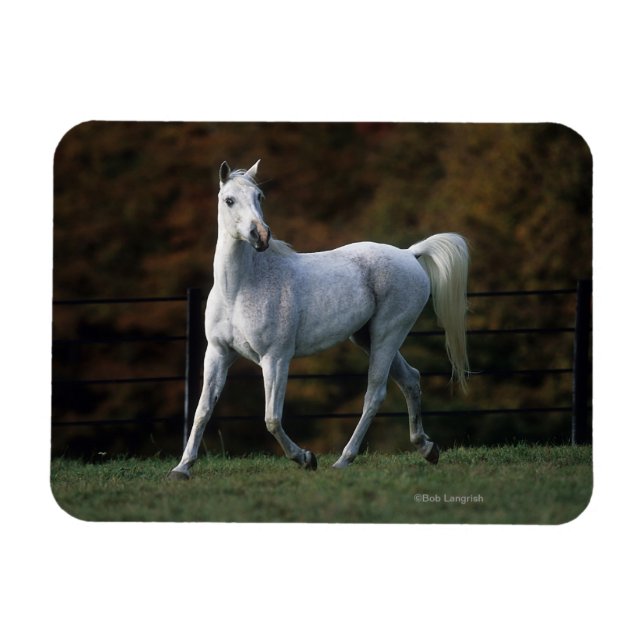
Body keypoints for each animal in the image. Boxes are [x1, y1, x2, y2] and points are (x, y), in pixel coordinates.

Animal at [168, 160, 469, 479]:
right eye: (229, 200)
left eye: (259, 196)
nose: (260, 236)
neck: (239, 289)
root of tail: (409, 253)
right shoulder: (218, 353)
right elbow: (202, 411)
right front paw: (182, 468)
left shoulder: (275, 358)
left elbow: (272, 418)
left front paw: (305, 458)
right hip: (367, 337)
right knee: (410, 379)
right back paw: (427, 449)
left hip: (388, 335)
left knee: (375, 393)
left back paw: (344, 459)